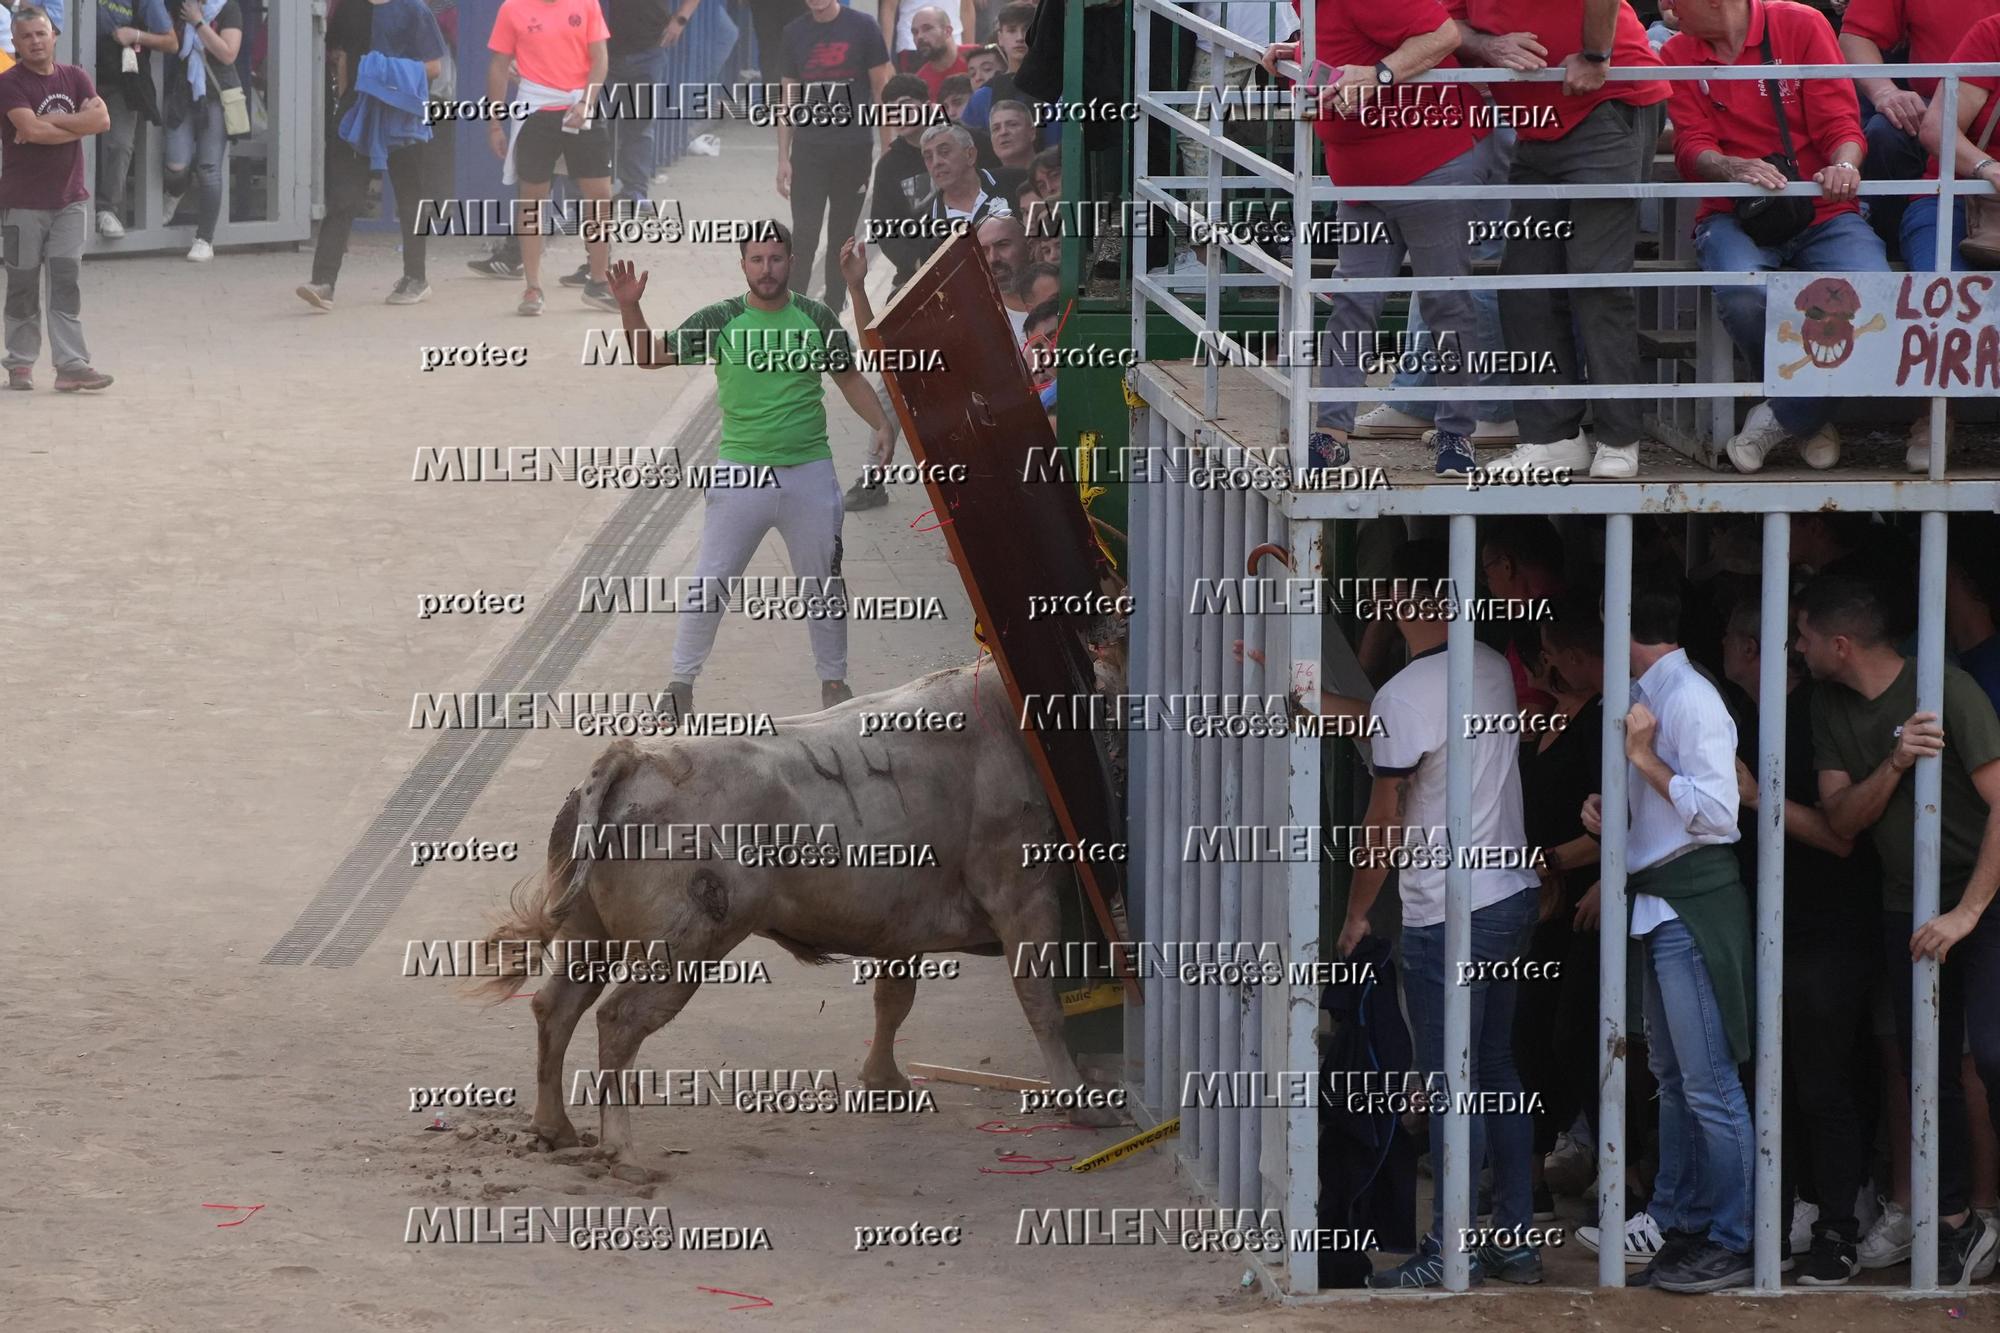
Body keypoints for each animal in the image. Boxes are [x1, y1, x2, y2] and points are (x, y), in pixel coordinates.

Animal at [472, 652, 1128, 1152]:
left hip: (590, 934)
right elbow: (1041, 1001)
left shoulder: (901, 928)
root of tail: (636, 758)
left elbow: (894, 1000)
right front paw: (1082, 1102)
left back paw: (554, 1127)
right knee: (618, 1019)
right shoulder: (1024, 897)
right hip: (684, 949)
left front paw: (884, 1080)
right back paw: (620, 1145)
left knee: (556, 1007)